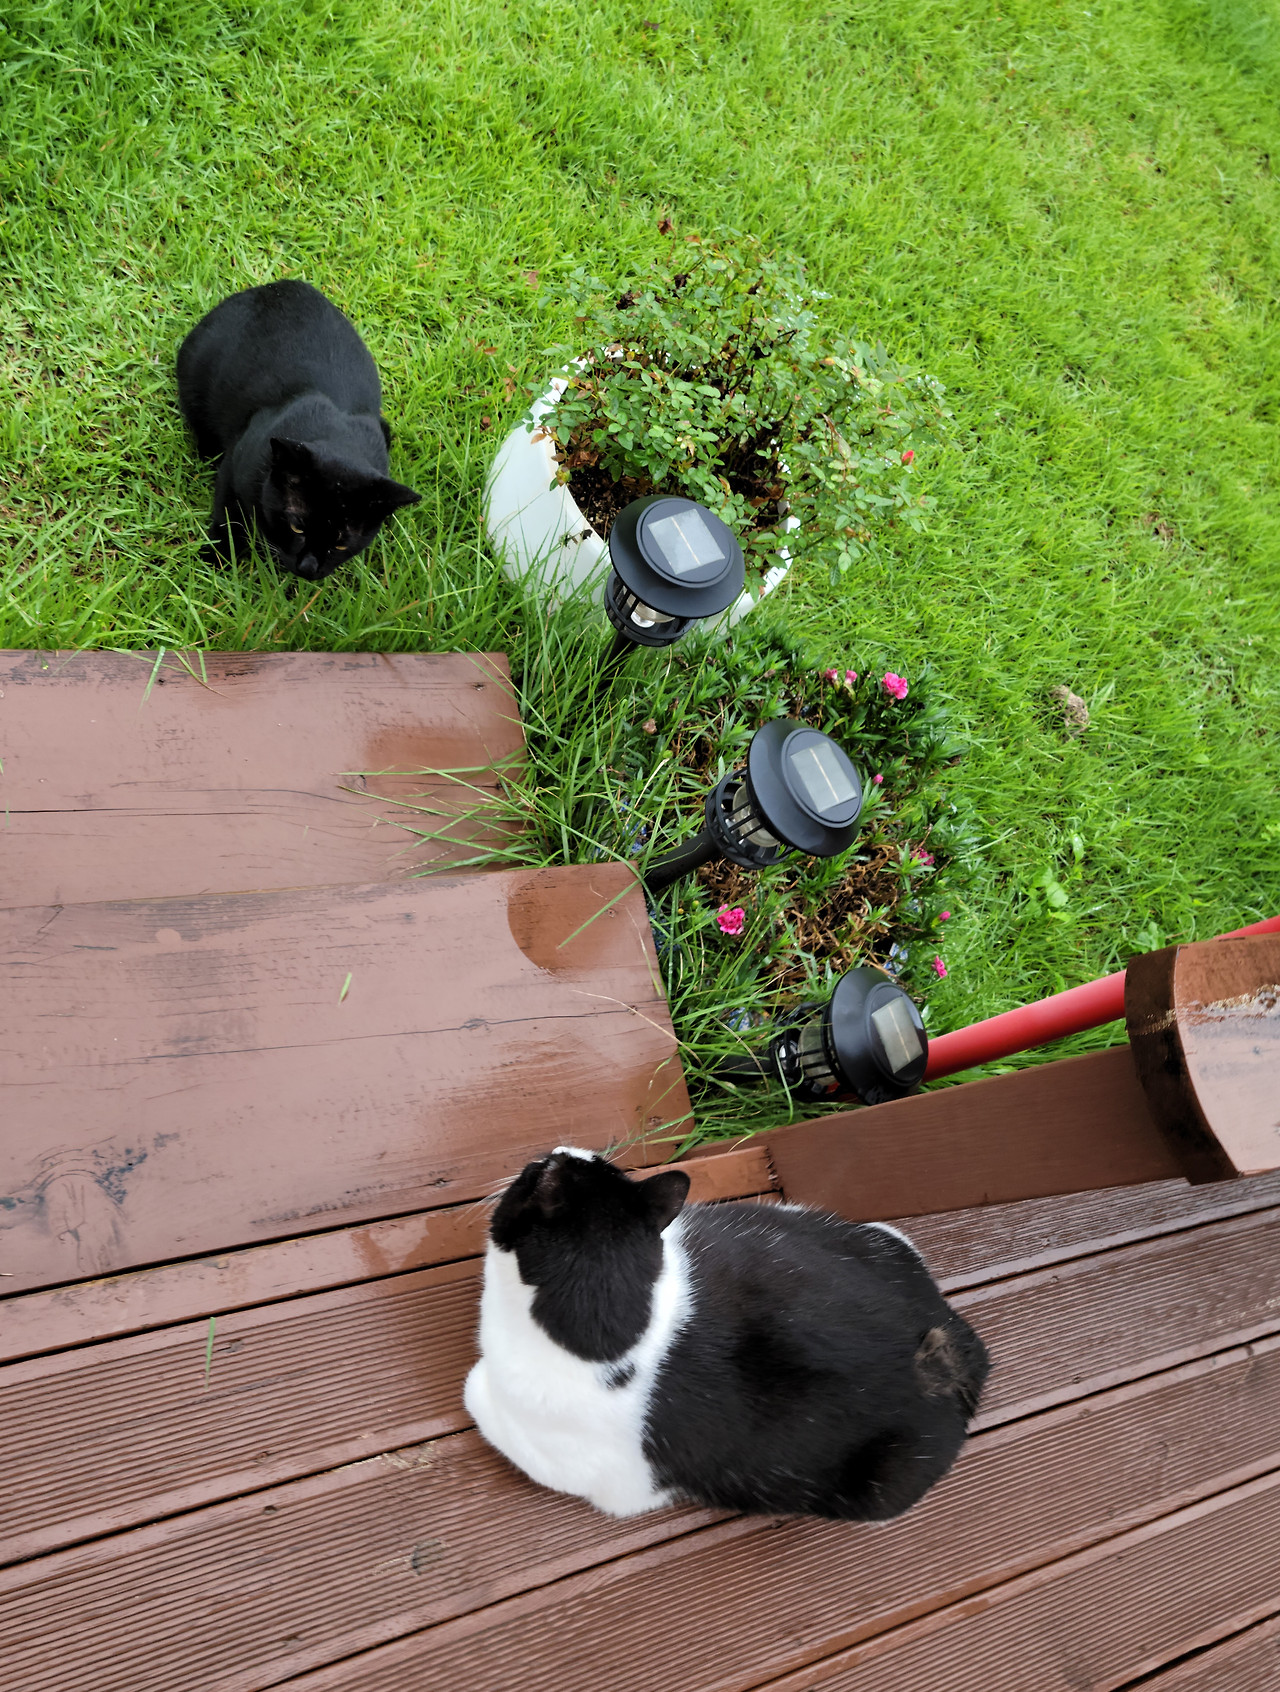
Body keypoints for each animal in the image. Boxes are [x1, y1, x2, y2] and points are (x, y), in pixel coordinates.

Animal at [177, 279, 420, 580]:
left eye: (341, 544)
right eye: (297, 527)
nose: (309, 568)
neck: (338, 435)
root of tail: (275, 286)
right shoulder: (235, 465)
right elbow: (228, 518)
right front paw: (217, 558)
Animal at [464, 1146, 990, 1521]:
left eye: (534, 1173)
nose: (552, 1150)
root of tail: (951, 1345)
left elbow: (475, 1390)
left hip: (886, 1483)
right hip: (833, 1226)